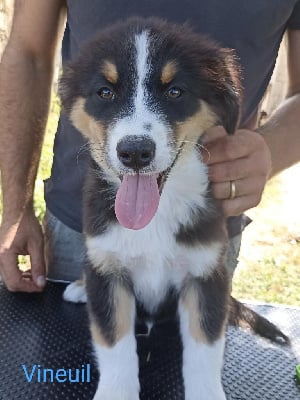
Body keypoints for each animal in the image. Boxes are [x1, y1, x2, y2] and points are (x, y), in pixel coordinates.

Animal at [59, 17, 288, 398]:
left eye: (175, 92)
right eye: (105, 92)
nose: (135, 152)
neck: (156, 215)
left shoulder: (205, 274)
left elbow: (204, 352)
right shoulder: (109, 274)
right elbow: (115, 348)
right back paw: (79, 285)